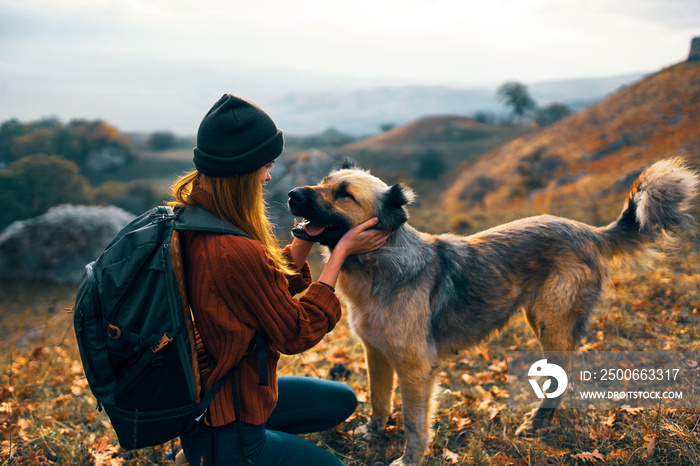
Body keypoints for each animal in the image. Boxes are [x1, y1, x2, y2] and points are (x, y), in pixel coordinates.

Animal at [288, 158, 696, 464]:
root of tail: (590, 231)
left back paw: (537, 424)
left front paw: (409, 459)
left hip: (551, 322)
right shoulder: (376, 352)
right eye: (323, 183)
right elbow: (377, 399)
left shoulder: (415, 368)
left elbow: (413, 424)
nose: (292, 195)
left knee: (562, 373)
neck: (379, 262)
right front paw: (373, 434)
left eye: (344, 194)